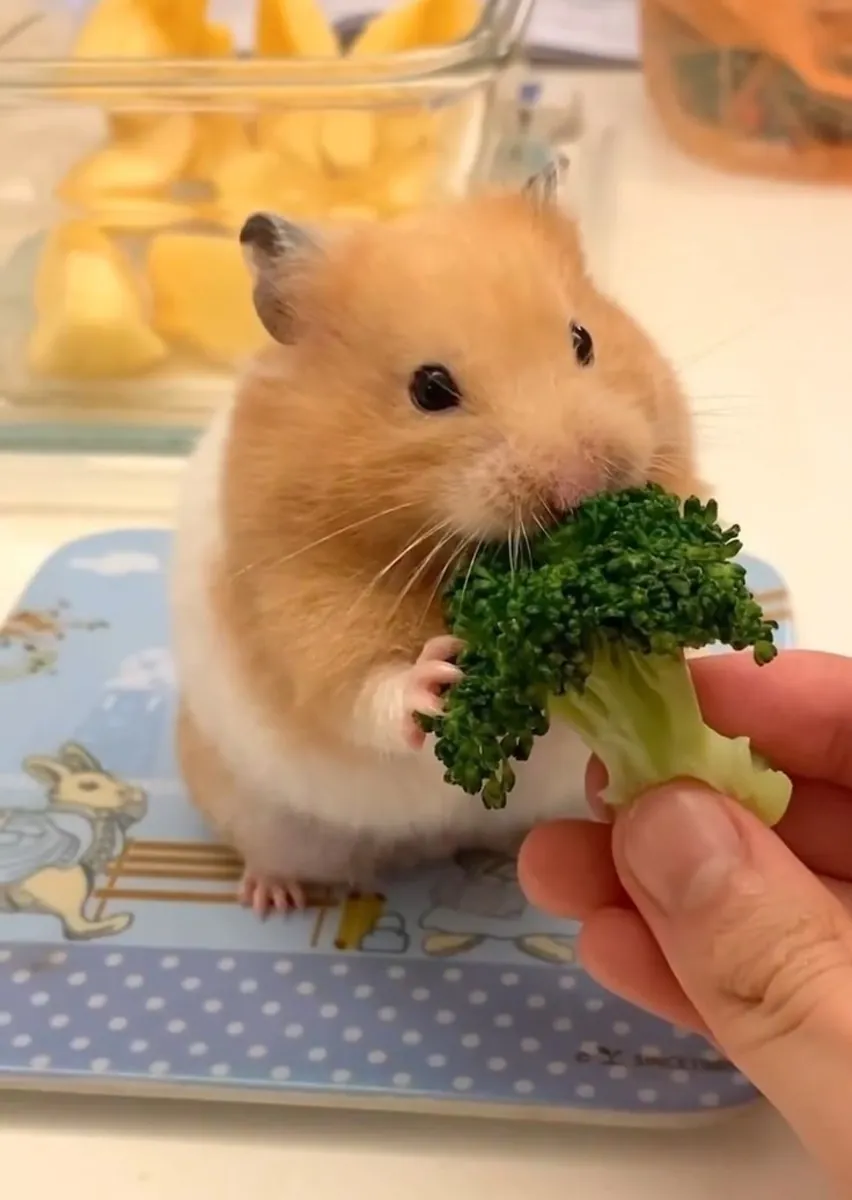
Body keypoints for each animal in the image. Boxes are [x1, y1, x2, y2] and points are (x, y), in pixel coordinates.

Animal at [171, 157, 702, 916]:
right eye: (430, 390)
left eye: (583, 339)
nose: (579, 487)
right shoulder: (297, 603)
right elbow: (360, 687)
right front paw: (439, 679)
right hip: (247, 804)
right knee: (268, 851)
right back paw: (271, 897)